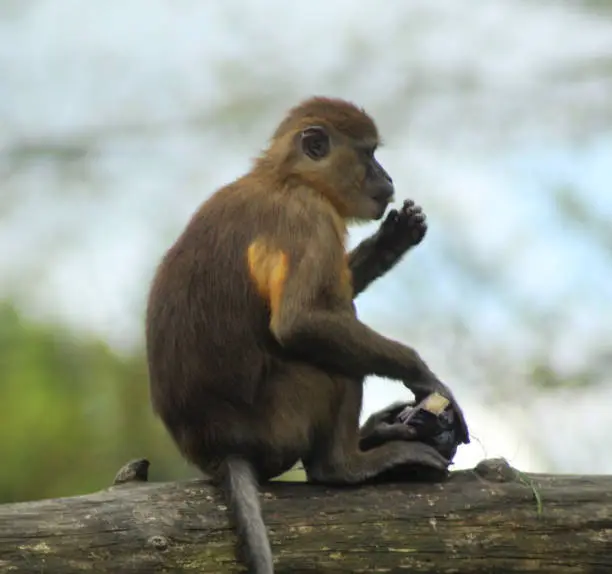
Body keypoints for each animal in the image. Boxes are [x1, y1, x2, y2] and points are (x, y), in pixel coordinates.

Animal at [146, 97, 470, 572]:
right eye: (369, 154)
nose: (386, 177)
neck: (284, 177)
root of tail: (218, 447)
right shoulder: (309, 215)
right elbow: (300, 323)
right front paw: (424, 376)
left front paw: (390, 242)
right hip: (281, 419)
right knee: (334, 366)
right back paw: (344, 465)